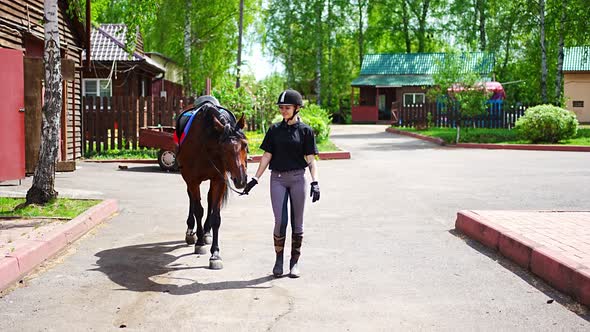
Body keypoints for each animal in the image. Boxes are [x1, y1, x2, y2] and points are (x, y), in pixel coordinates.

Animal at [177, 101, 249, 270]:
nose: (241, 180)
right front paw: (199, 242)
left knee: (210, 200)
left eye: (244, 144)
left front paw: (215, 253)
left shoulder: (218, 180)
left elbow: (216, 216)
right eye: (224, 148)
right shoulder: (192, 180)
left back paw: (207, 232)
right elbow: (198, 210)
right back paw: (191, 231)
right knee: (192, 199)